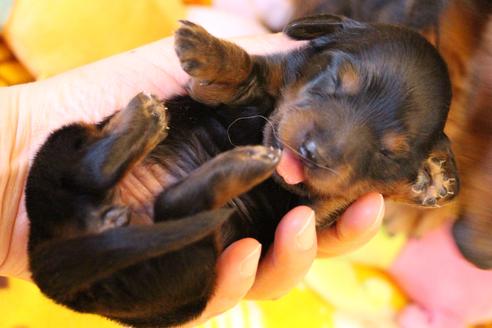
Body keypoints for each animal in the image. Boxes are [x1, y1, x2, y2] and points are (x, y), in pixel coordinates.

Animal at [24, 16, 458, 328]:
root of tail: (53, 260)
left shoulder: (318, 210)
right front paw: (205, 49)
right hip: (64, 142)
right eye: (335, 80)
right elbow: (252, 74)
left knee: (171, 204)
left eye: (387, 152)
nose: (312, 153)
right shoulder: (229, 92)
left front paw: (430, 180)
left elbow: (336, 191)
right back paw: (151, 124)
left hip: (189, 272)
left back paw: (228, 160)